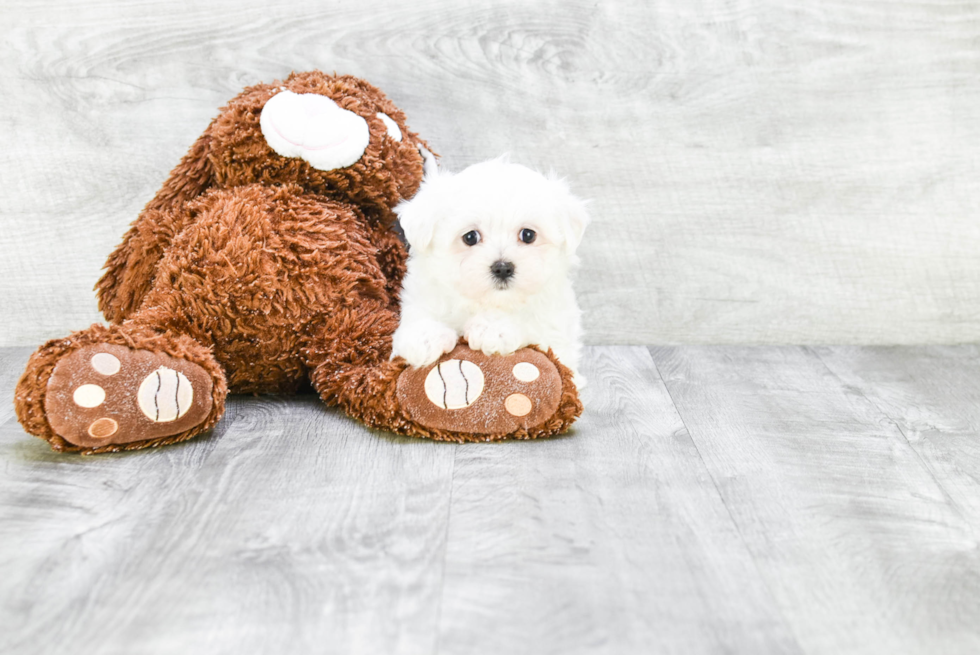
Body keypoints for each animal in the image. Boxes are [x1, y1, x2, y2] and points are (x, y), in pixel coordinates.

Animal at [390, 157, 588, 386]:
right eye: (470, 237)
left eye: (528, 235)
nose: (502, 268)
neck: (488, 303)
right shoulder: (421, 296)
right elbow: (418, 316)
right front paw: (425, 336)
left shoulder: (556, 330)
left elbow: (538, 332)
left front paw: (493, 327)